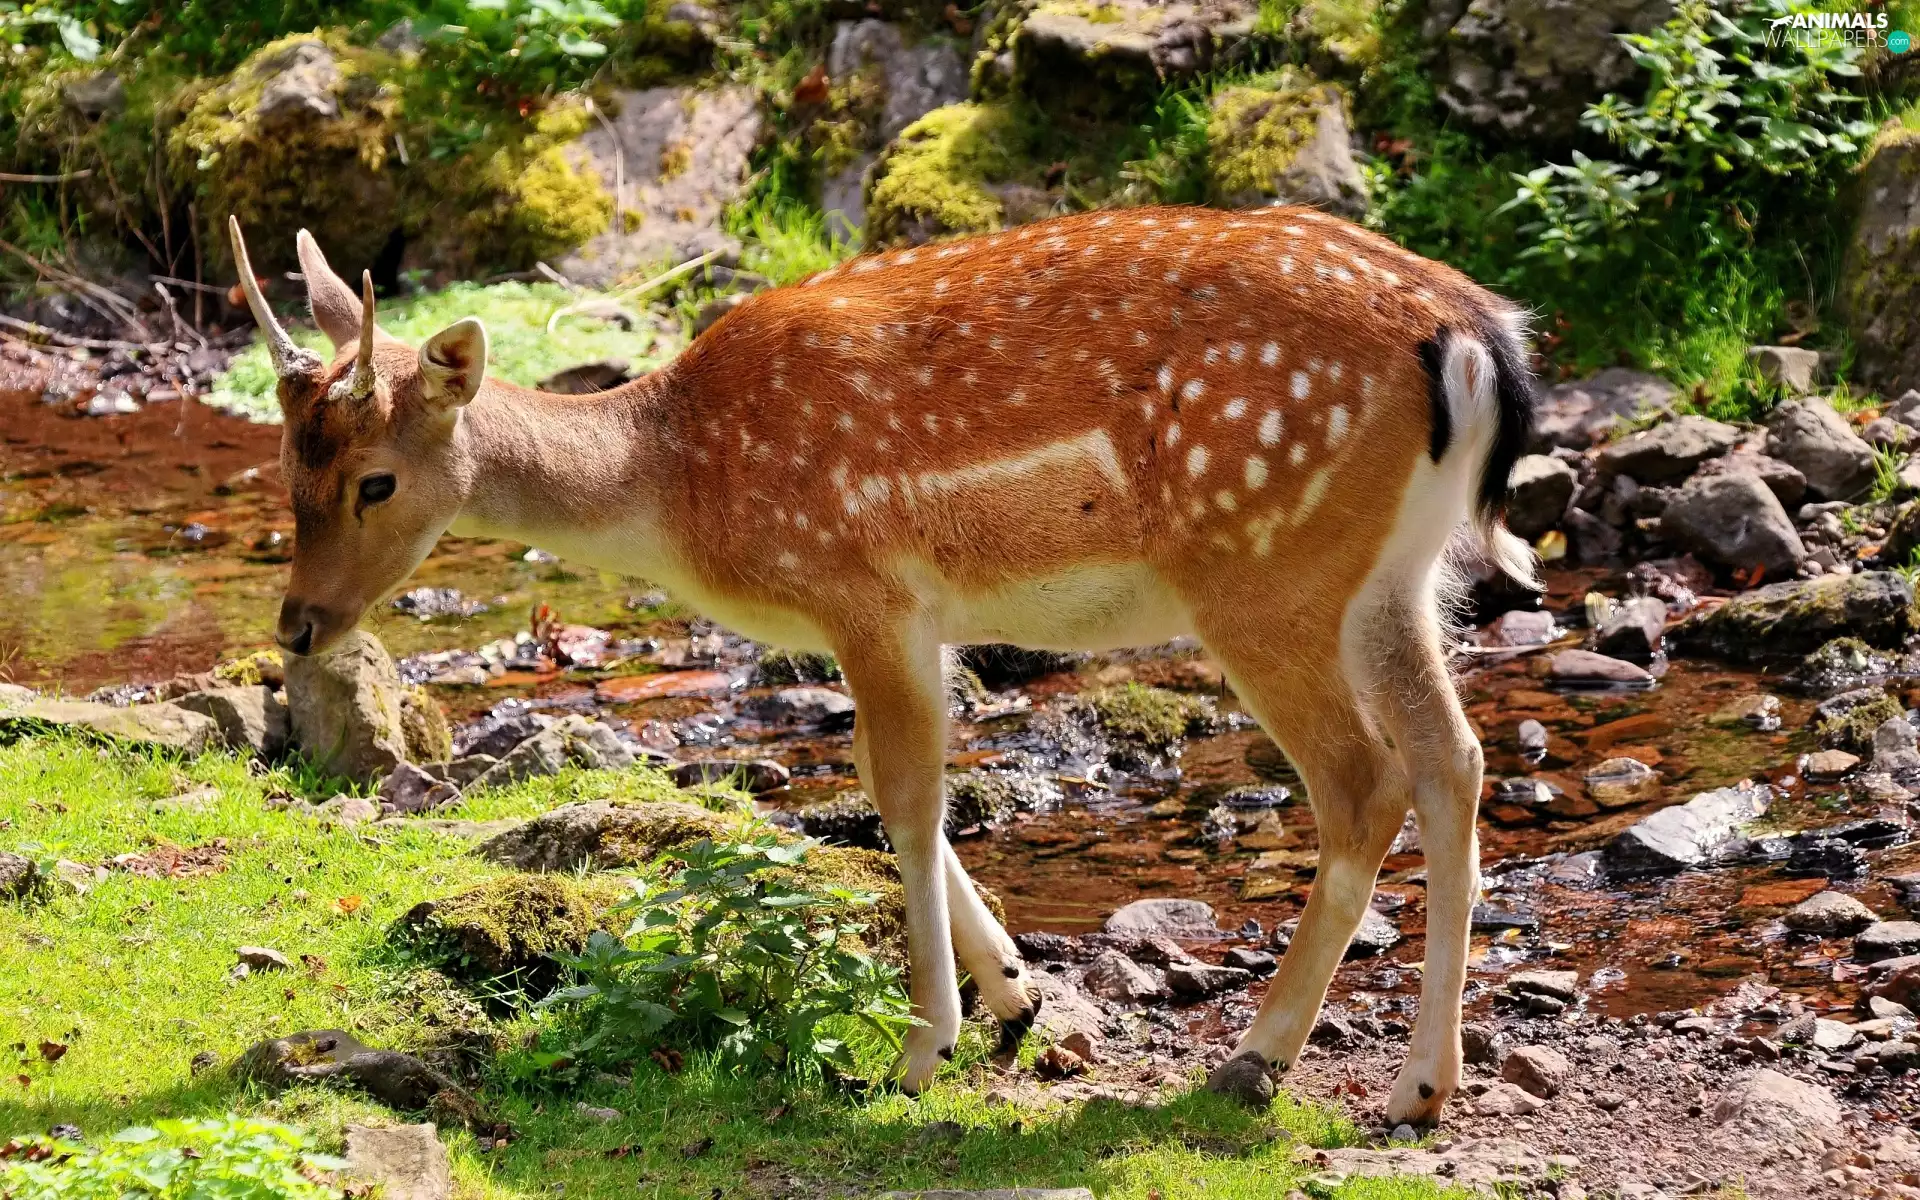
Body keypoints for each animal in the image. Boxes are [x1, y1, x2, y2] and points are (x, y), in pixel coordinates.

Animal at [228, 202, 1536, 1127]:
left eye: (377, 479)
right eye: (285, 464)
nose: (295, 626)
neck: (678, 489)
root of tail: (1477, 343)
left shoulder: (865, 588)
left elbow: (903, 797)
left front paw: (923, 1048)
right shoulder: (919, 618)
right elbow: (904, 794)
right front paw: (1017, 996)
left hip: (1264, 568)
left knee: (1364, 781)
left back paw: (1253, 1060)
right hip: (1395, 574)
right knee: (1455, 759)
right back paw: (1421, 1088)